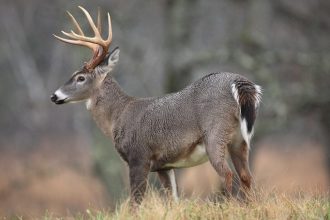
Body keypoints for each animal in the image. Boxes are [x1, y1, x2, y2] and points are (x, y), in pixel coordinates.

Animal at [51, 6, 262, 205]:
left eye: (80, 77)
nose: (54, 96)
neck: (118, 116)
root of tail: (239, 82)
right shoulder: (165, 165)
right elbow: (173, 199)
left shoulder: (139, 156)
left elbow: (136, 201)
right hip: (239, 140)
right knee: (246, 176)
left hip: (215, 134)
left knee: (227, 174)